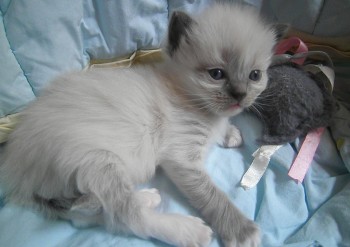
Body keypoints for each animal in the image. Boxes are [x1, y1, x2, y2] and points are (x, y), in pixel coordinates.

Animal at [0, 3, 278, 247]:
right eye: (216, 74)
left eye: (255, 75)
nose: (240, 95)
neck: (190, 99)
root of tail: (17, 171)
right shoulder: (183, 159)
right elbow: (213, 196)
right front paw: (242, 231)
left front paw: (230, 133)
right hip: (100, 162)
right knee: (125, 218)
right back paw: (187, 230)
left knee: (87, 217)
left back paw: (147, 197)